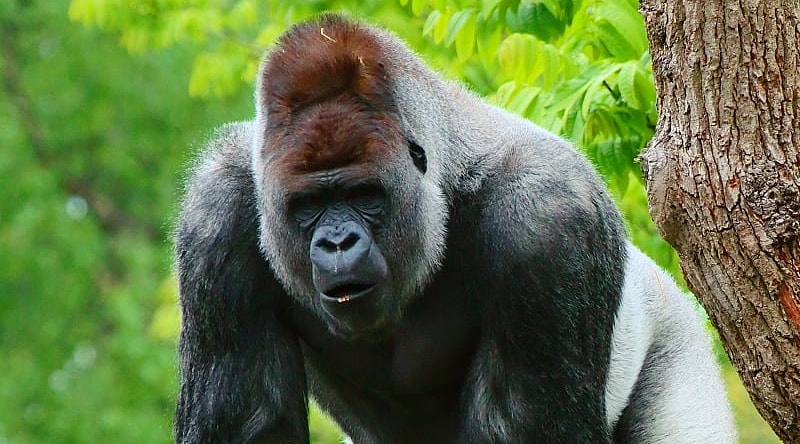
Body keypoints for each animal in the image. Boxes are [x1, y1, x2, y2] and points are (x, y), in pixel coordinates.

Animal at [174, 13, 736, 443]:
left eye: (364, 197)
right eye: (309, 205)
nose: (337, 242)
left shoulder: (549, 219)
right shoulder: (214, 213)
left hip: (675, 333)